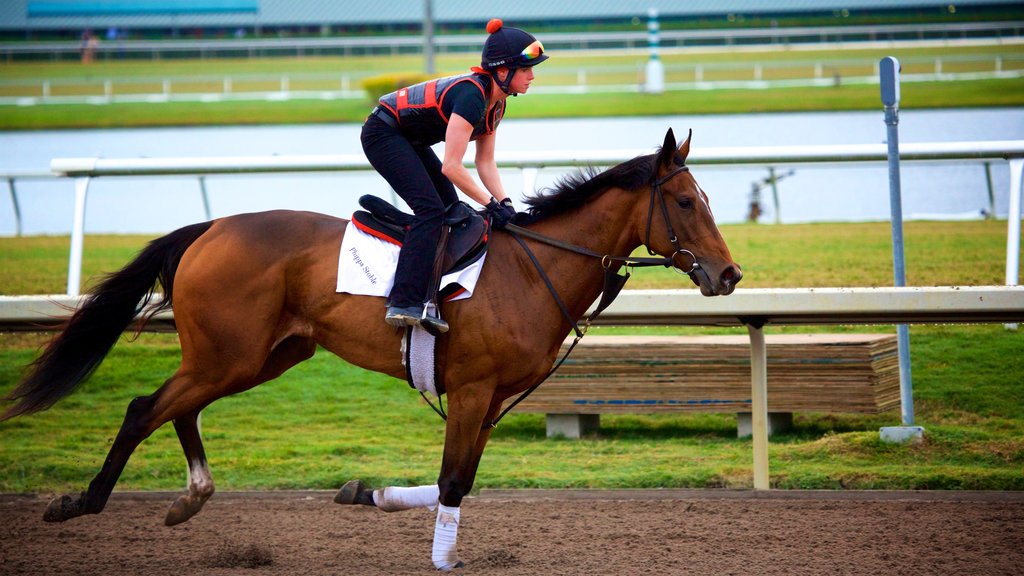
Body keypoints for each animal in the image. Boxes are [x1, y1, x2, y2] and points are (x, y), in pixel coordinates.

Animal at [0, 127, 737, 565]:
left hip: (259, 357)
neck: (532, 269)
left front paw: (365, 493)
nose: (729, 275)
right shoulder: (472, 391)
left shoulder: (492, 400)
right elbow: (452, 481)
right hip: (229, 355)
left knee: (178, 408)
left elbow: (457, 480)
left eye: (707, 197)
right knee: (142, 408)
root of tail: (208, 228)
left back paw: (191, 496)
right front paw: (440, 557)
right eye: (684, 201)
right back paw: (83, 502)